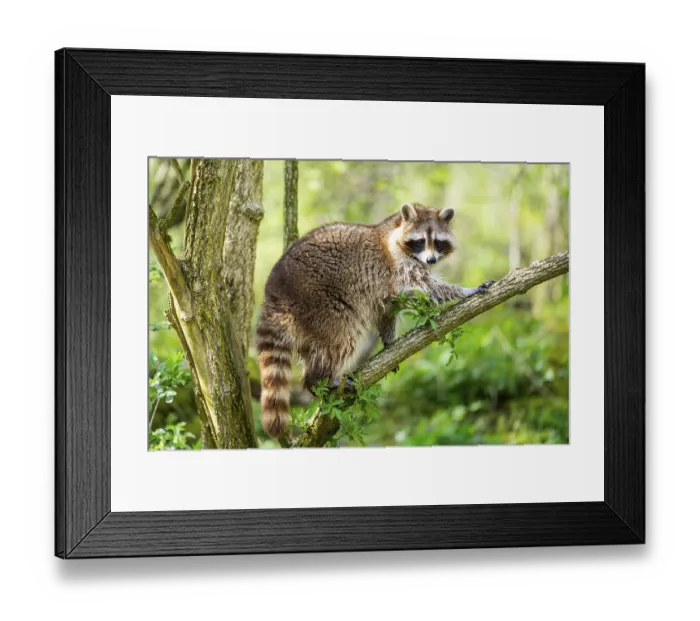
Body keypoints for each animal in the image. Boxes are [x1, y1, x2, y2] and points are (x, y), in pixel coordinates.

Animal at [256, 202, 494, 438]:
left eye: (437, 241)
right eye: (419, 241)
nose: (431, 260)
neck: (395, 228)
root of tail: (274, 293)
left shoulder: (386, 286)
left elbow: (387, 309)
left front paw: (389, 340)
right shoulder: (397, 267)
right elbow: (425, 287)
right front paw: (464, 291)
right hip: (319, 302)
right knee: (340, 337)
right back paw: (320, 378)